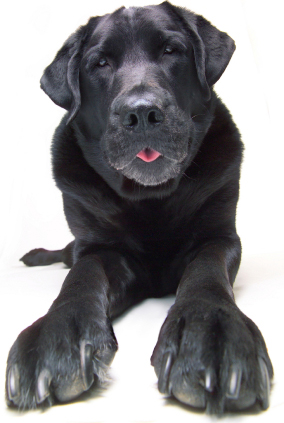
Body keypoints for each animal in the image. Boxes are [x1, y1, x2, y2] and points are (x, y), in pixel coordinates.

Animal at [5, 1, 272, 416]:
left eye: (171, 50)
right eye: (99, 63)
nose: (142, 113)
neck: (151, 200)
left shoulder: (219, 237)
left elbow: (206, 272)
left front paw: (211, 332)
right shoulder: (99, 248)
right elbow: (80, 276)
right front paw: (55, 333)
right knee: (66, 255)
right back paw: (36, 256)